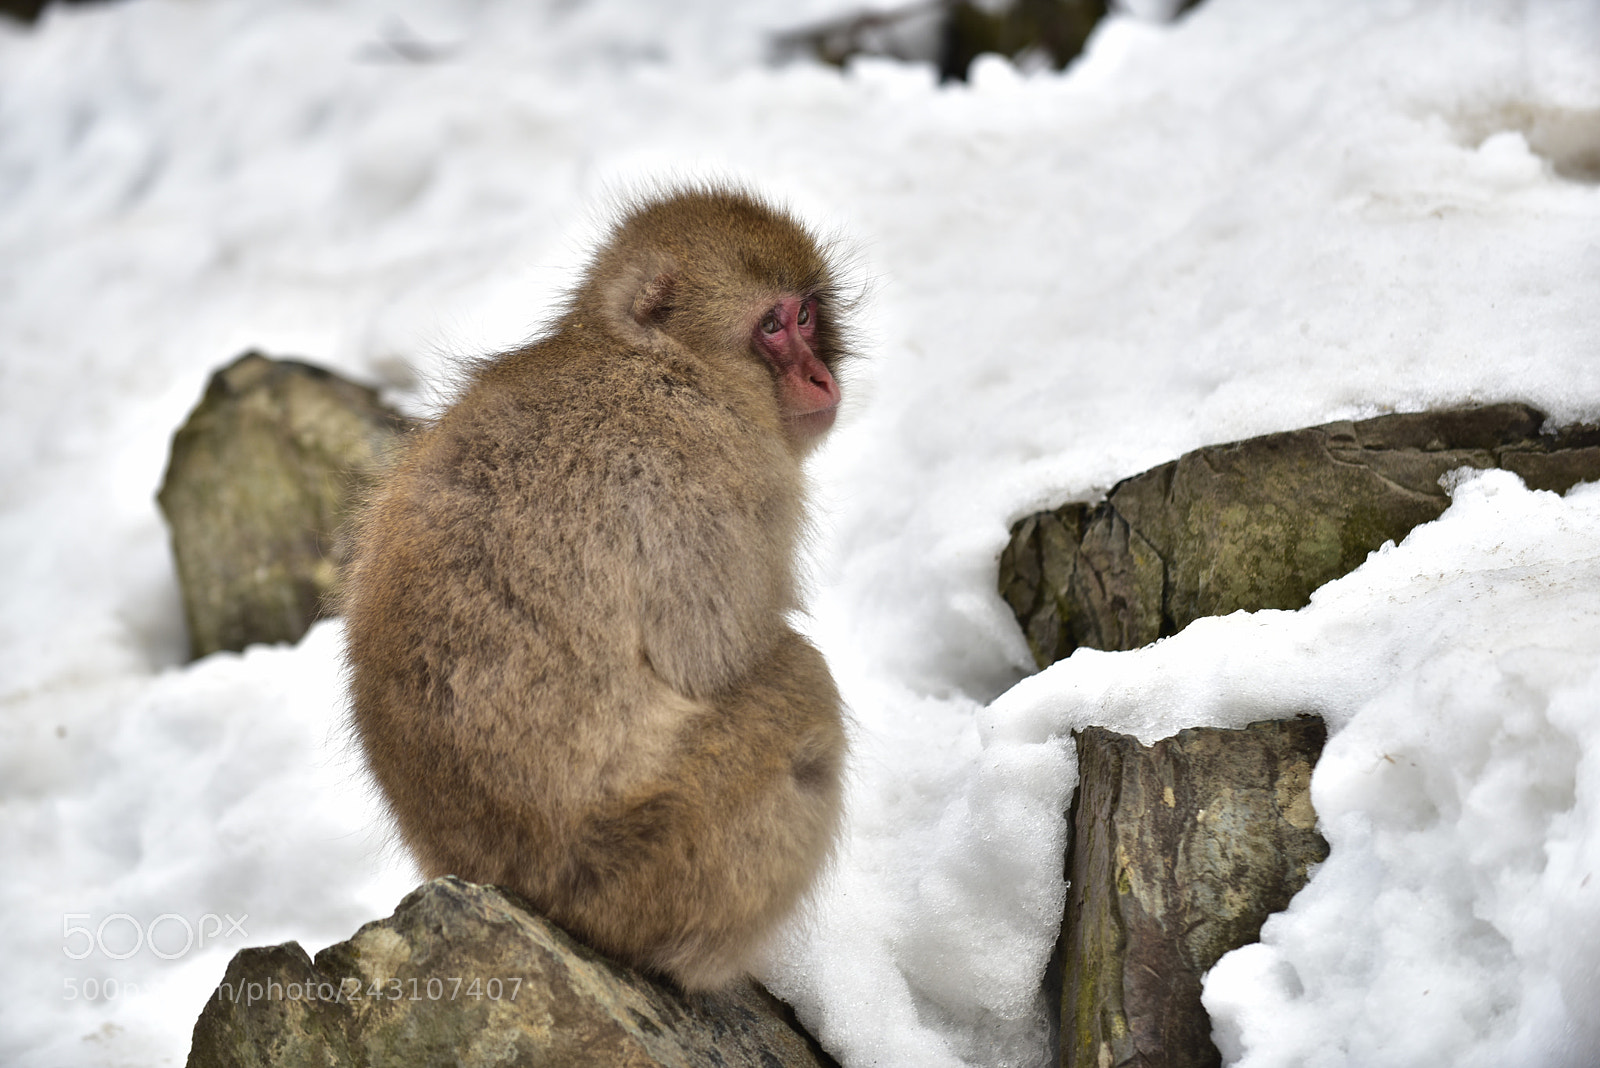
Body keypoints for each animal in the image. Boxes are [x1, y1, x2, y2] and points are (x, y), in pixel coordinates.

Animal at [340, 185, 851, 992]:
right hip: (652, 858)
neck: (654, 357)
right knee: (804, 683)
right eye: (771, 326)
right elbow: (711, 658)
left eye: (805, 314)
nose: (822, 378)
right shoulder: (717, 466)